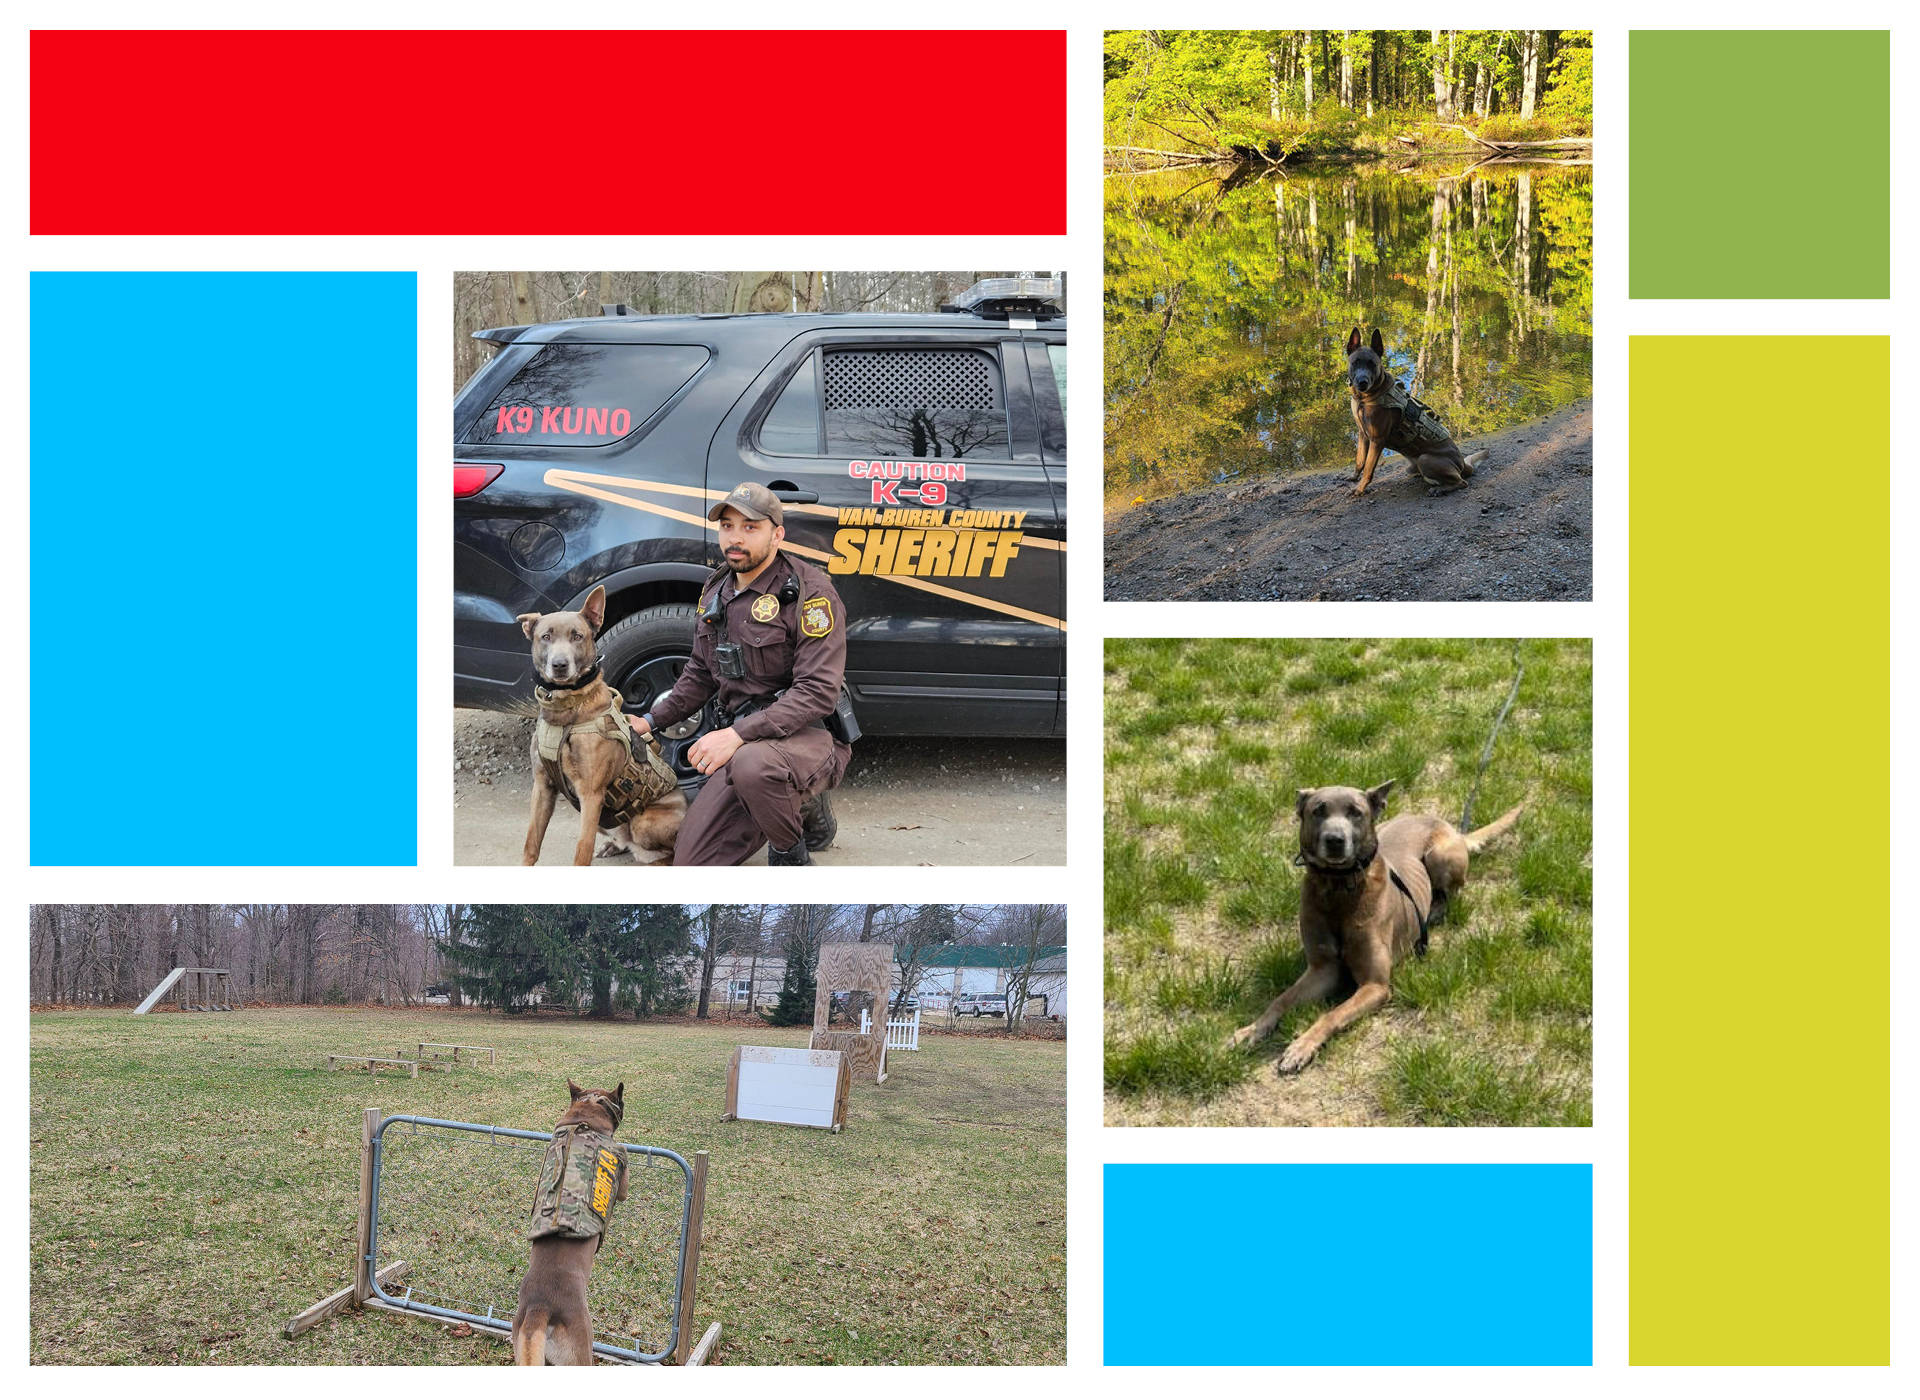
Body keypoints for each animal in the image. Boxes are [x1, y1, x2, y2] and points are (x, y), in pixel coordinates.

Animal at [518, 579, 683, 864]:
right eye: (545, 637)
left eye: (577, 636)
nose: (559, 665)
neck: (566, 711)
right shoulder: (542, 787)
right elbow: (531, 844)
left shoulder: (591, 794)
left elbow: (582, 850)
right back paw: (614, 846)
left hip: (643, 823)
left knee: (670, 851)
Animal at [1228, 775, 1528, 1067]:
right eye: (1318, 811)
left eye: (1355, 812)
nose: (1335, 840)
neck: (1338, 889)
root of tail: (1453, 829)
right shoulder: (1322, 969)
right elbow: (1282, 999)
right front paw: (1252, 1029)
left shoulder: (1376, 985)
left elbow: (1332, 1014)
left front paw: (1302, 1046)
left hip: (1439, 856)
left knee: (1453, 891)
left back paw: (1435, 910)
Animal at [1344, 326, 1489, 495]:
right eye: (1355, 363)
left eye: (1372, 364)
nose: (1362, 382)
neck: (1364, 398)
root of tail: (1463, 463)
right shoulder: (1363, 434)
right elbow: (1360, 461)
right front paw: (1354, 477)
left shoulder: (1377, 440)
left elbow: (1368, 469)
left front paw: (1359, 489)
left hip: (1424, 459)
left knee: (1461, 482)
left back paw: (1440, 489)